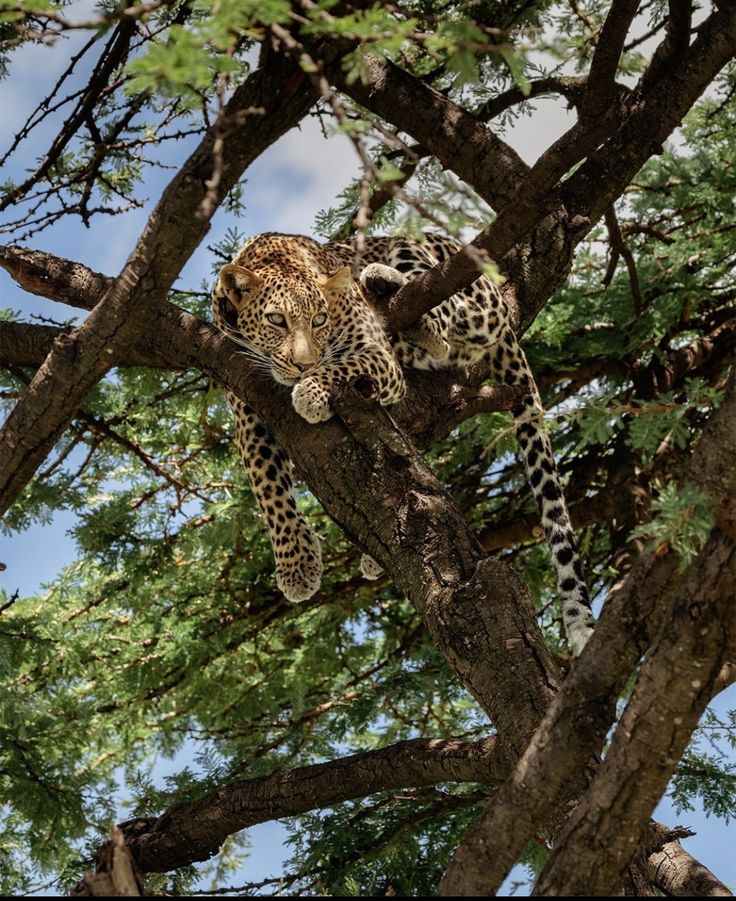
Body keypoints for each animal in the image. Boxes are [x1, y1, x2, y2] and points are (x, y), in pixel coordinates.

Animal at [212, 231, 595, 655]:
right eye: (276, 320)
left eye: (319, 320)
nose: (304, 365)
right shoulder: (244, 397)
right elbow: (268, 485)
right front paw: (297, 564)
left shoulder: (376, 357)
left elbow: (345, 364)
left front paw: (312, 391)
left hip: (449, 279)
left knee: (447, 324)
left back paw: (384, 282)